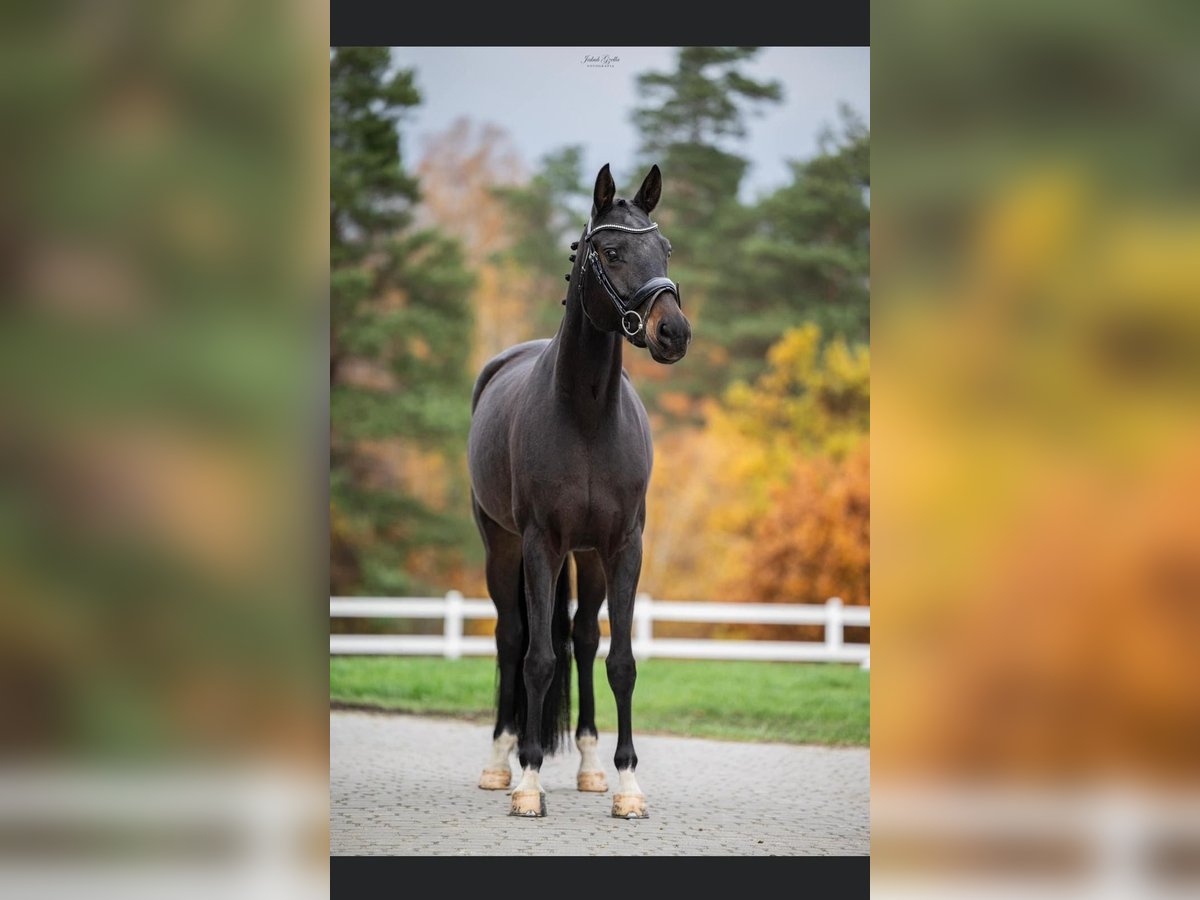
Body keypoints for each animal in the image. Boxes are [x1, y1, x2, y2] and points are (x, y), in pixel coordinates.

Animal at [470, 165, 696, 820]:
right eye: (612, 251)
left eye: (665, 248)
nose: (673, 332)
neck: (589, 417)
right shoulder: (540, 544)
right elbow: (538, 659)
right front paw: (528, 783)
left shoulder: (623, 547)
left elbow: (618, 660)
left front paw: (626, 786)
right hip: (502, 548)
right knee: (513, 638)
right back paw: (502, 760)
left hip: (590, 558)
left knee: (584, 638)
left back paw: (592, 766)